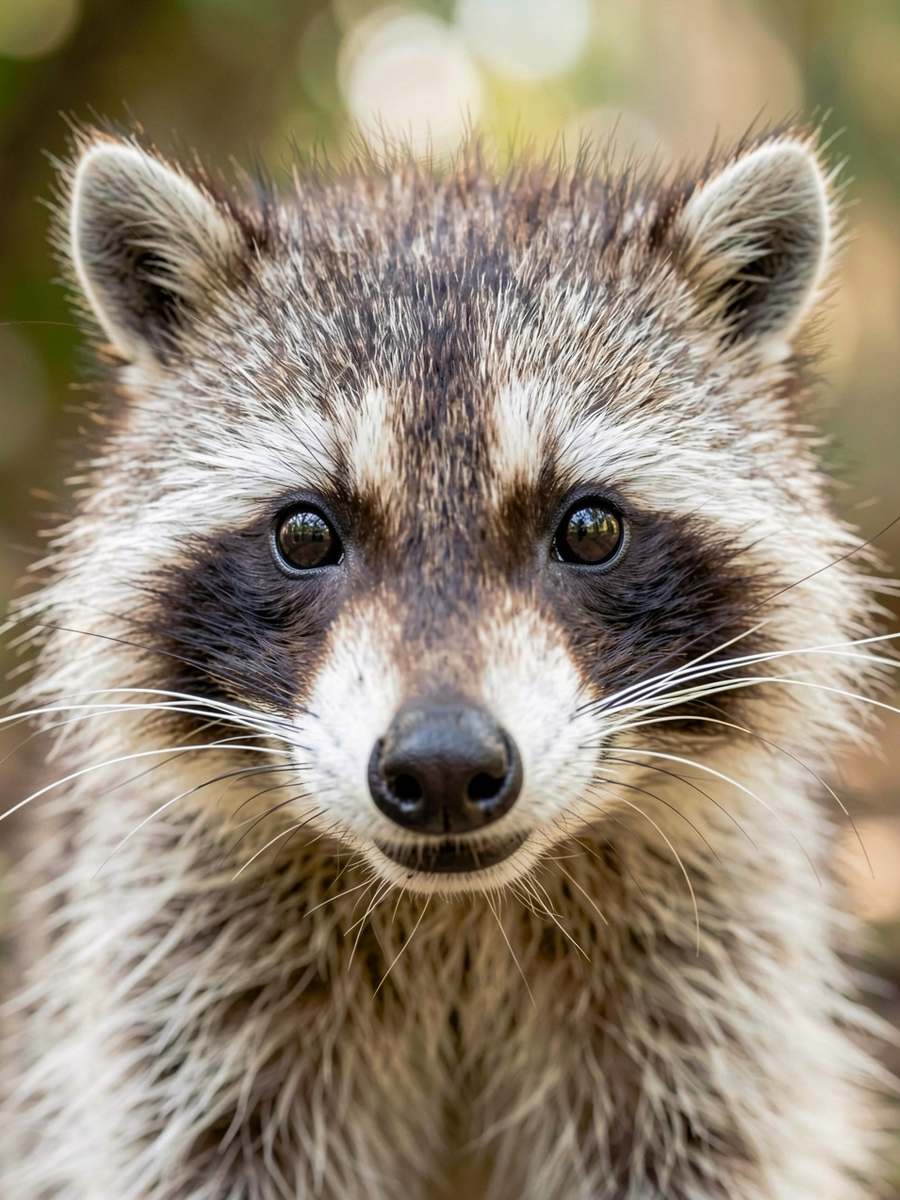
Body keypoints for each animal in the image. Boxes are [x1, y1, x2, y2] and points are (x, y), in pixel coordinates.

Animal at [0, 126, 892, 1200]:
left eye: (591, 528)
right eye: (305, 533)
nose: (442, 768)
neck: (459, 913)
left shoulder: (714, 969)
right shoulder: (174, 966)